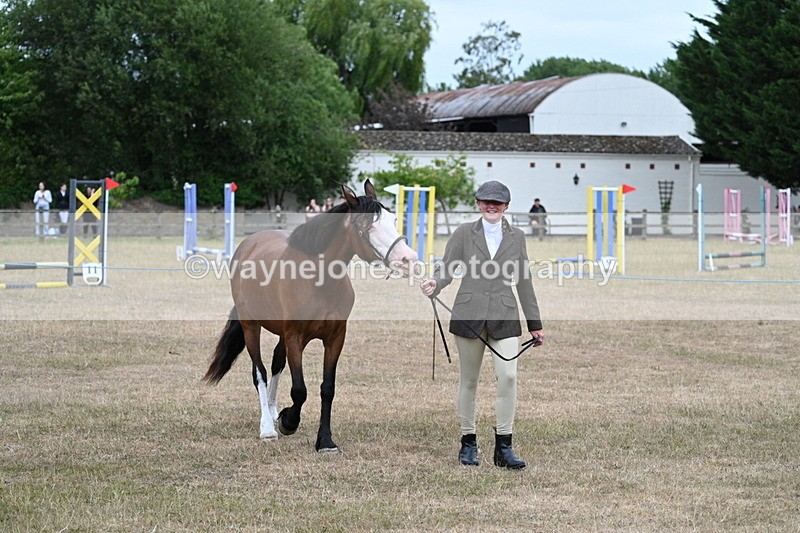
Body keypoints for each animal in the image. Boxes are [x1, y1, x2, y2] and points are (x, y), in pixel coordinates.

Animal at [203, 180, 418, 452]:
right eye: (366, 226)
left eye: (393, 219)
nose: (408, 259)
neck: (318, 279)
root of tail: (248, 245)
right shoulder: (295, 336)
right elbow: (299, 390)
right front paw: (288, 421)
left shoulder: (334, 338)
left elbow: (327, 389)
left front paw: (324, 440)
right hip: (251, 326)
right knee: (259, 372)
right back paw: (267, 427)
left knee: (276, 363)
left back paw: (272, 412)